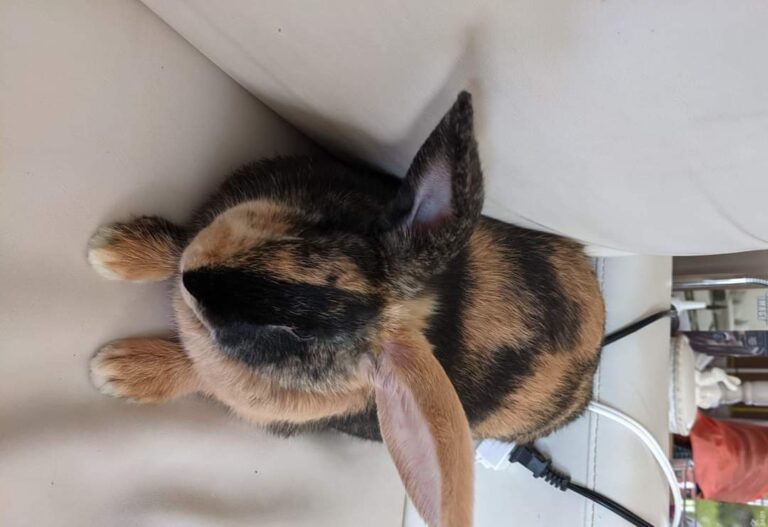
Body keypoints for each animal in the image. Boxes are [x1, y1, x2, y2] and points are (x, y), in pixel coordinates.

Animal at [87, 92, 605, 527]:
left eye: (297, 335)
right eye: (331, 226)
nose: (197, 280)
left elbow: (194, 372)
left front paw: (118, 370)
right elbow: (178, 242)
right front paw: (113, 249)